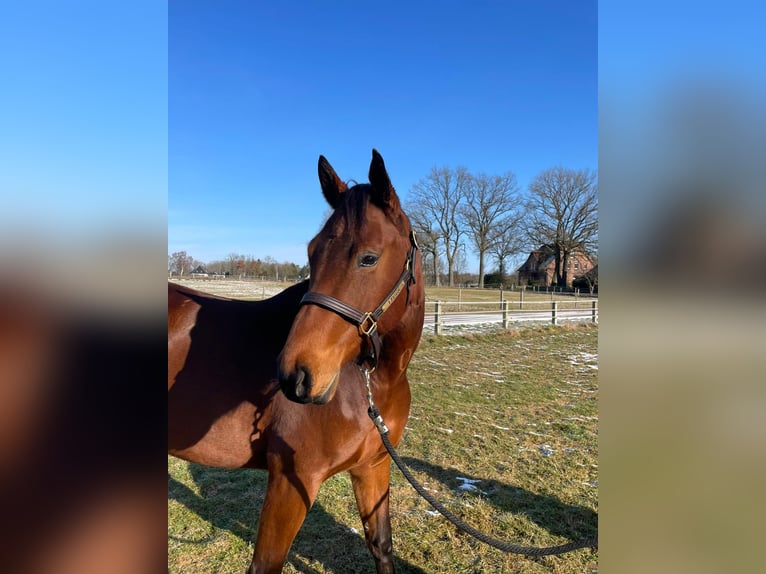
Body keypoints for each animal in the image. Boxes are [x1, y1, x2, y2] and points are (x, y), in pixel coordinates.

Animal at [168, 149, 425, 574]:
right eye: (311, 252)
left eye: (369, 258)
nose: (295, 376)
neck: (373, 383)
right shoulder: (291, 480)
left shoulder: (373, 466)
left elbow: (381, 544)